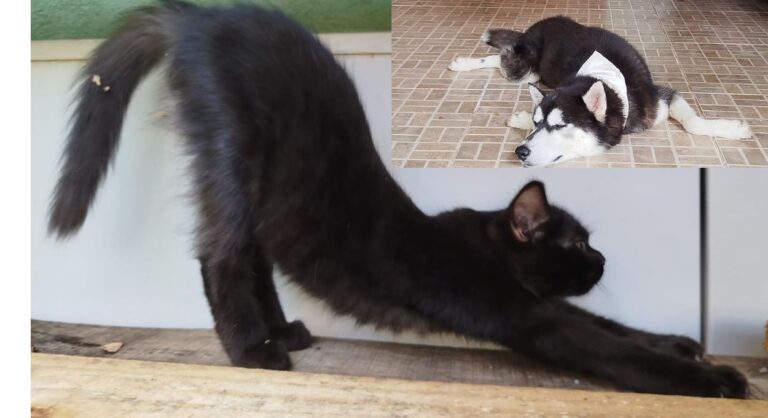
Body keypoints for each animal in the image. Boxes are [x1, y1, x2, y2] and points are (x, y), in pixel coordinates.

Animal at [448, 16, 752, 166]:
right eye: (537, 124)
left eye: (559, 126)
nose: (519, 151)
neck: (612, 89)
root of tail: (550, 18)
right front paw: (521, 117)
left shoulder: (660, 99)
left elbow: (693, 123)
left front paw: (731, 129)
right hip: (524, 69)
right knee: (500, 57)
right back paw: (464, 62)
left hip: (528, 71)